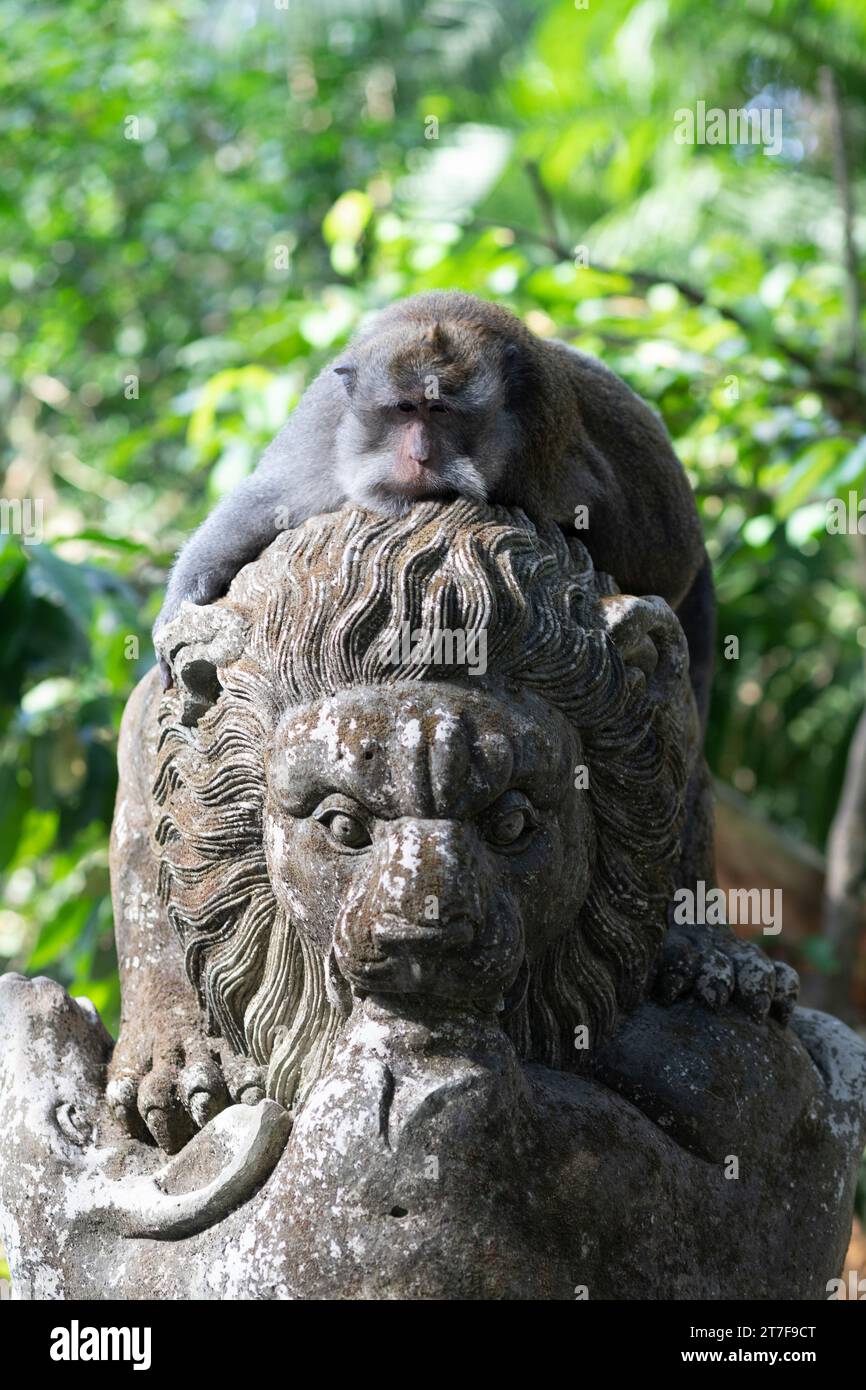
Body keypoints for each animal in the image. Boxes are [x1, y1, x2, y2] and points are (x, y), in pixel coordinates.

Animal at [154, 290, 714, 727]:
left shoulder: (540, 441)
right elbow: (274, 497)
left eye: (441, 410)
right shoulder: (328, 412)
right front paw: (182, 600)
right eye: (405, 409)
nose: (421, 456)